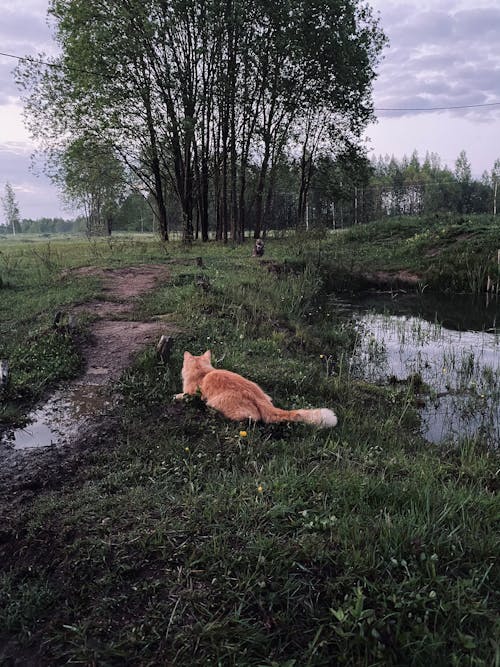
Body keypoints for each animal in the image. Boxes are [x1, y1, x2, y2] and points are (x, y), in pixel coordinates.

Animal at [174, 350, 338, 428]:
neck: (203, 372)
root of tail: (262, 400)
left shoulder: (191, 394)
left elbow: (183, 395)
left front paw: (176, 396)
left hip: (218, 403)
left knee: (253, 418)